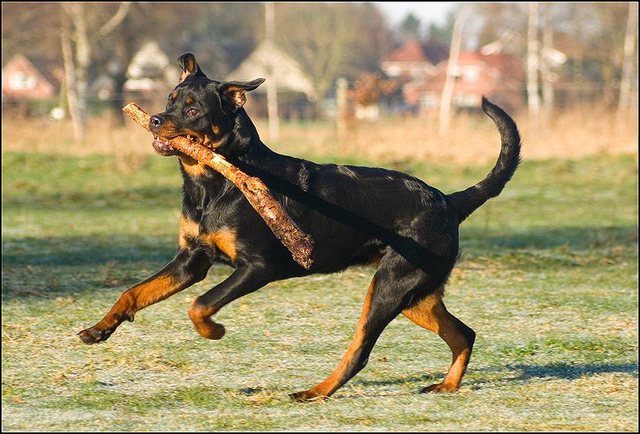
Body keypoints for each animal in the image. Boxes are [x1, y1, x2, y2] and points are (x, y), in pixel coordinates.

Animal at [79, 52, 520, 402]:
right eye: (170, 99)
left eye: (192, 109)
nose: (154, 120)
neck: (212, 182)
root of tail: (448, 200)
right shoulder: (192, 258)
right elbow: (134, 293)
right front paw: (98, 330)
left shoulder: (259, 267)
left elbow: (200, 304)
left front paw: (214, 331)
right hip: (416, 295)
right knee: (464, 333)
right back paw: (447, 385)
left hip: (391, 286)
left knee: (360, 350)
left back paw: (315, 391)